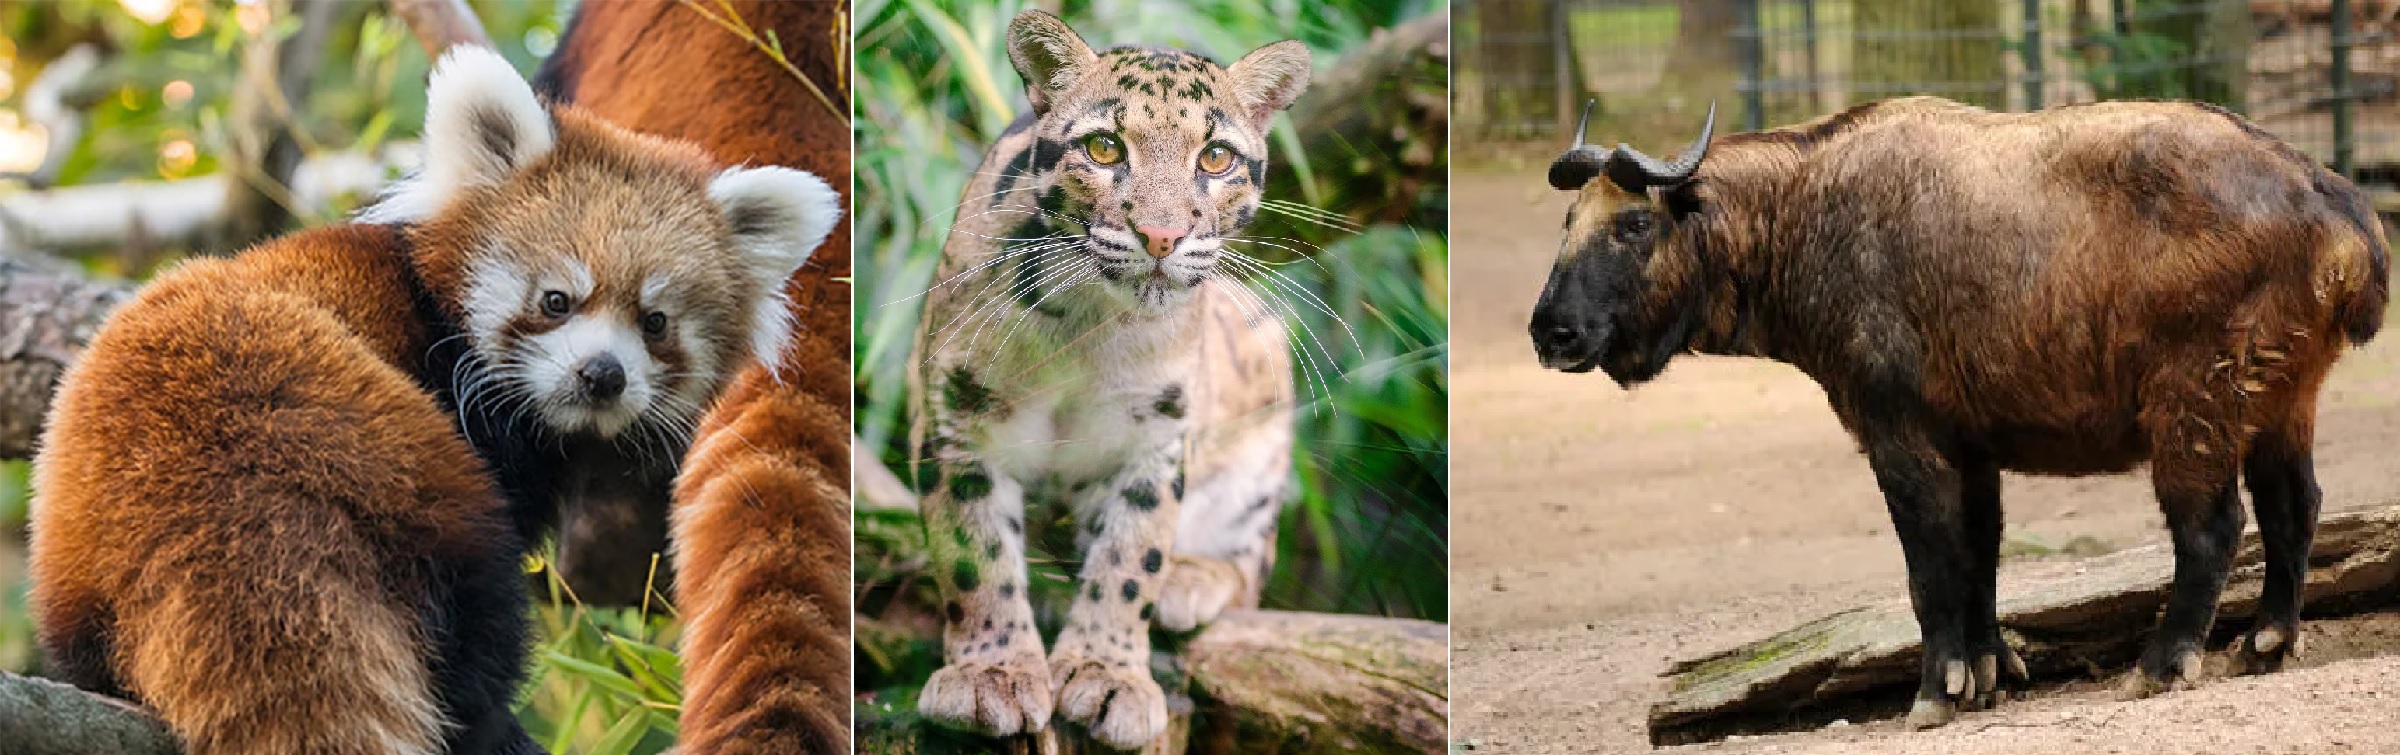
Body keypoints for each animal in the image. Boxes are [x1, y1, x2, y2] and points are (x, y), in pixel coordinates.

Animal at [21, 48, 835, 755]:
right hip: (400, 468)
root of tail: (211, 498)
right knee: (479, 607)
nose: (601, 374)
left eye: (655, 321)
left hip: (78, 569)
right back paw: (491, 728)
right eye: (556, 300)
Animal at [902, 7, 1315, 752]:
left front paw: (1107, 673)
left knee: (1249, 567)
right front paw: (991, 673)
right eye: (1103, 148)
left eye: (1215, 158)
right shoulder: (956, 416)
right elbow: (974, 552)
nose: (1160, 236)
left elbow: (1132, 555)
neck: (1090, 324)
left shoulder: (1155, 434)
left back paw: (1190, 578)